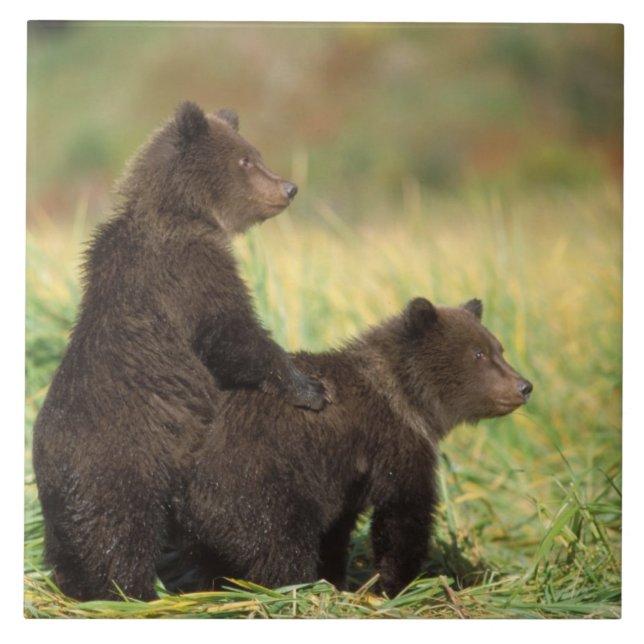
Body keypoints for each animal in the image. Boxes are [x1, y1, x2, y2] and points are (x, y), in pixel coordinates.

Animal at [32, 101, 327, 602]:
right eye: (246, 160)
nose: (289, 186)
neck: (182, 211)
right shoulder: (189, 272)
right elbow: (232, 333)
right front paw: (311, 387)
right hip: (123, 465)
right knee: (121, 537)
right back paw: (134, 594)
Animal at [157, 297, 533, 598]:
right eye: (478, 353)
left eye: (498, 348)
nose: (524, 385)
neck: (408, 397)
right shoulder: (394, 444)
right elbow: (403, 514)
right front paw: (393, 584)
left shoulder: (344, 474)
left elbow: (338, 528)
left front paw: (338, 578)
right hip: (257, 481)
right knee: (281, 544)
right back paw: (289, 589)